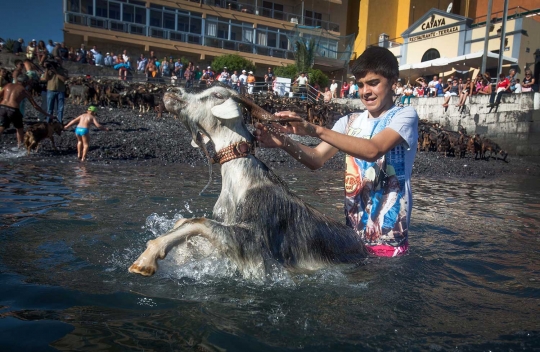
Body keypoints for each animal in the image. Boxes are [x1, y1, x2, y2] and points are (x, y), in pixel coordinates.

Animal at [129, 84, 370, 278]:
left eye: (217, 94)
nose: (172, 91)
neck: (243, 180)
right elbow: (186, 223)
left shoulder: (254, 241)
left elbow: (198, 222)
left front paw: (146, 259)